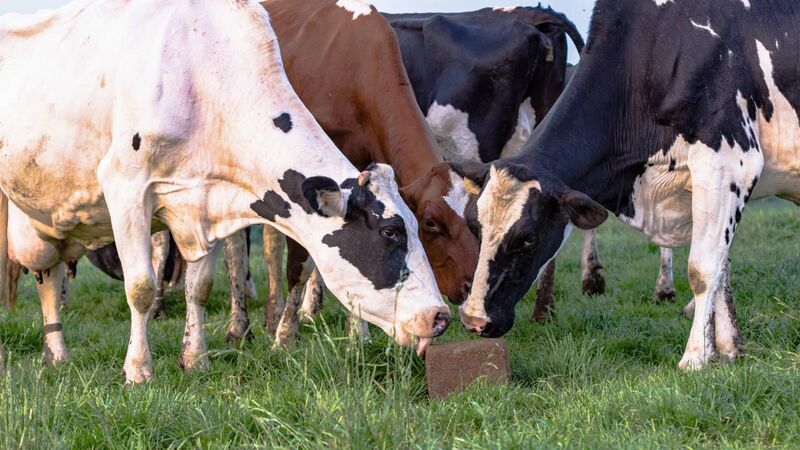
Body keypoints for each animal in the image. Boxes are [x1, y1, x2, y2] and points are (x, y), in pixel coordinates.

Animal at [0, 0, 449, 383]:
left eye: (420, 227)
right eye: (391, 232)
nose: (440, 316)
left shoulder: (202, 201)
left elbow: (199, 287)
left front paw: (195, 359)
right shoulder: (126, 186)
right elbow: (141, 287)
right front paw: (138, 371)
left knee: (49, 274)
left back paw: (57, 355)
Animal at [453, 0, 799, 370]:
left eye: (528, 239)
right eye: (474, 226)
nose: (474, 319)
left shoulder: (729, 160)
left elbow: (703, 268)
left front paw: (695, 358)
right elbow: (723, 267)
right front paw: (728, 347)